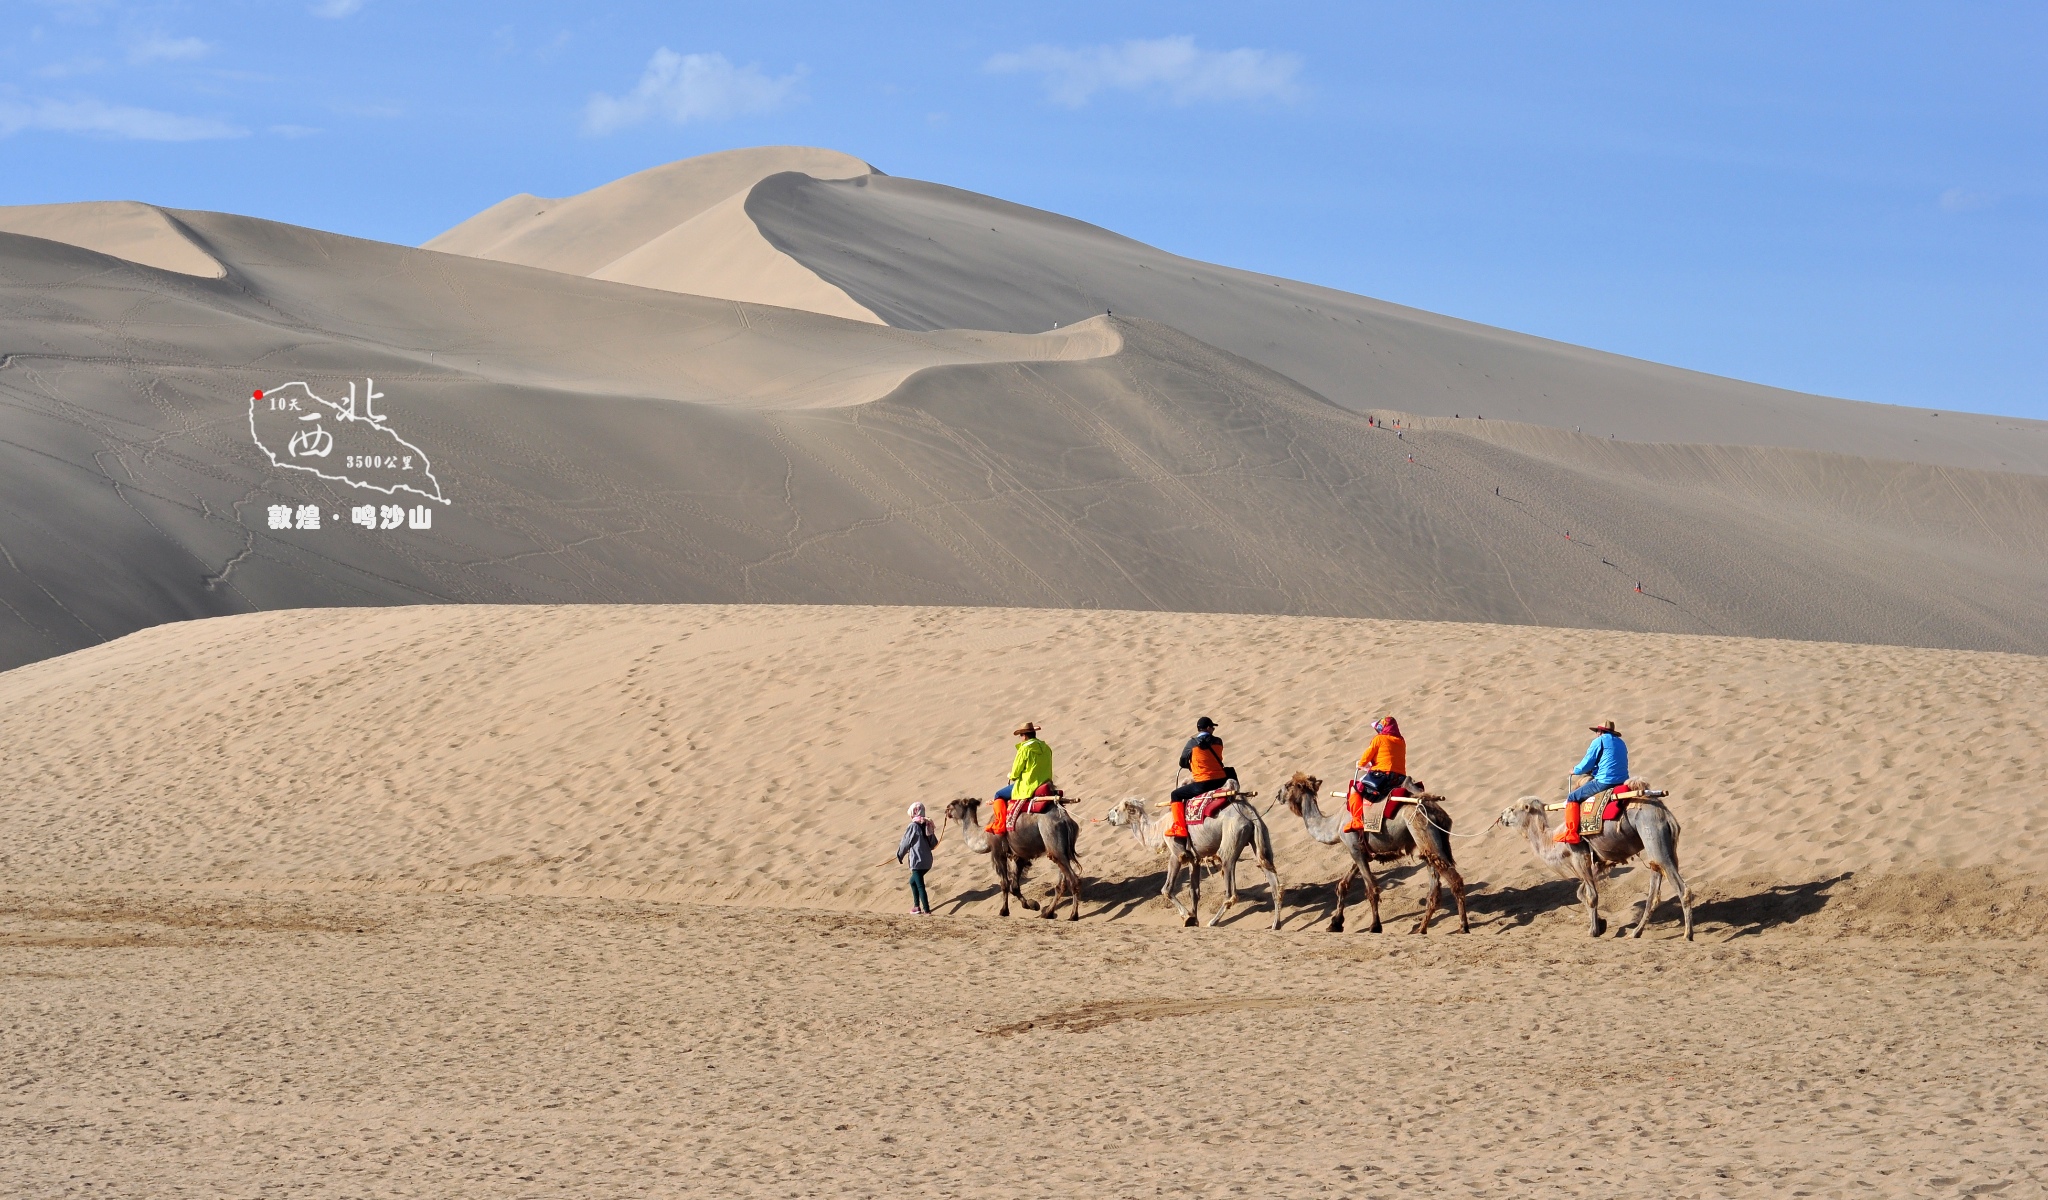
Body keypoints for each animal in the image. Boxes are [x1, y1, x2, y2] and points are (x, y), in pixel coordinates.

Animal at [942, 794, 1089, 917]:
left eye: (953, 804)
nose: (946, 810)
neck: (984, 835)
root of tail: (1066, 820)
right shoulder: (1020, 856)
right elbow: (1014, 886)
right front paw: (1032, 905)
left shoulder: (998, 852)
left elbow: (1004, 883)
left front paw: (1004, 911)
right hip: (1062, 851)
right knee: (1062, 883)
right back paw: (1048, 913)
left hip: (1054, 841)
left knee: (1073, 880)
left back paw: (1073, 916)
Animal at [1105, 790, 1277, 929]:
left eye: (1116, 809)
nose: (1108, 817)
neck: (1160, 829)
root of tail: (1249, 813)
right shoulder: (1194, 858)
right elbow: (1193, 891)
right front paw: (1194, 919)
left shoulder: (1177, 853)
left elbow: (1166, 889)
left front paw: (1187, 917)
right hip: (1260, 836)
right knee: (1272, 878)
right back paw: (1276, 924)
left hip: (1231, 839)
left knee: (1230, 890)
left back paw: (1213, 922)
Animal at [1269, 769, 1466, 929]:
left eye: (1288, 785)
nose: (1277, 794)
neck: (1335, 823)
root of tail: (1435, 810)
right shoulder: (1360, 850)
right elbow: (1343, 885)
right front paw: (1335, 923)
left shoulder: (1354, 847)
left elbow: (1371, 889)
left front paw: (1375, 926)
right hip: (1430, 844)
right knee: (1434, 887)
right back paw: (1421, 929)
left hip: (1422, 830)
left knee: (1454, 880)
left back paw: (1463, 927)